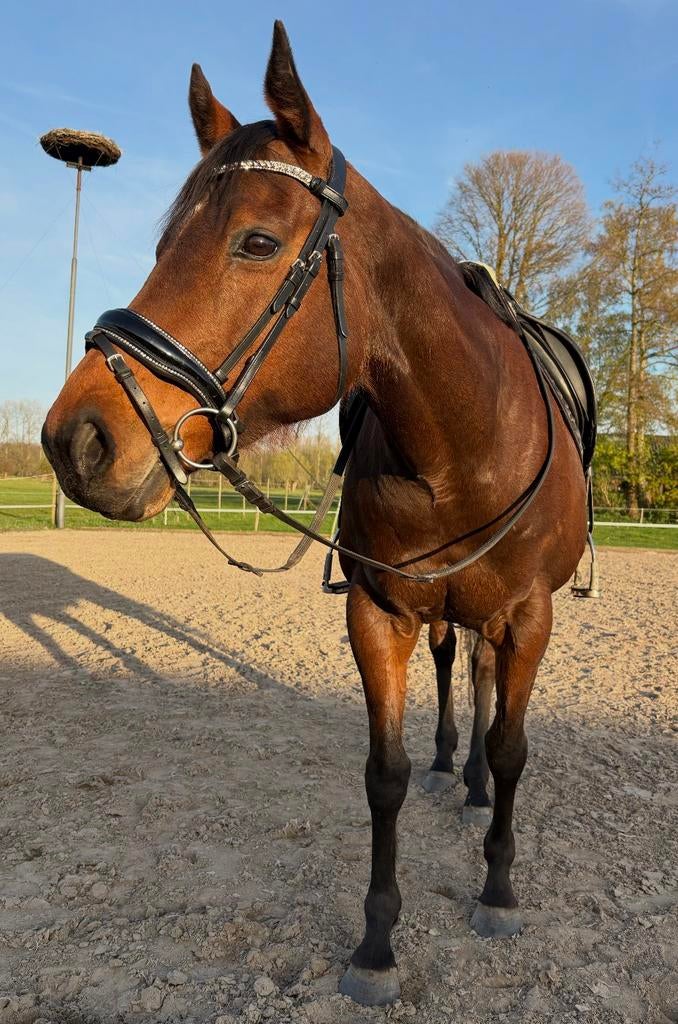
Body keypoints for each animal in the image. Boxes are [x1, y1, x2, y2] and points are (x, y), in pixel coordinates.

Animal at [42, 21, 591, 1007]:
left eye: (257, 242)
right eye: (161, 242)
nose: (77, 440)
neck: (463, 443)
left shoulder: (532, 614)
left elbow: (516, 747)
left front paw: (497, 888)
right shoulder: (379, 613)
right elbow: (385, 775)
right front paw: (376, 943)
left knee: (488, 687)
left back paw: (478, 788)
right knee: (458, 672)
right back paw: (458, 768)